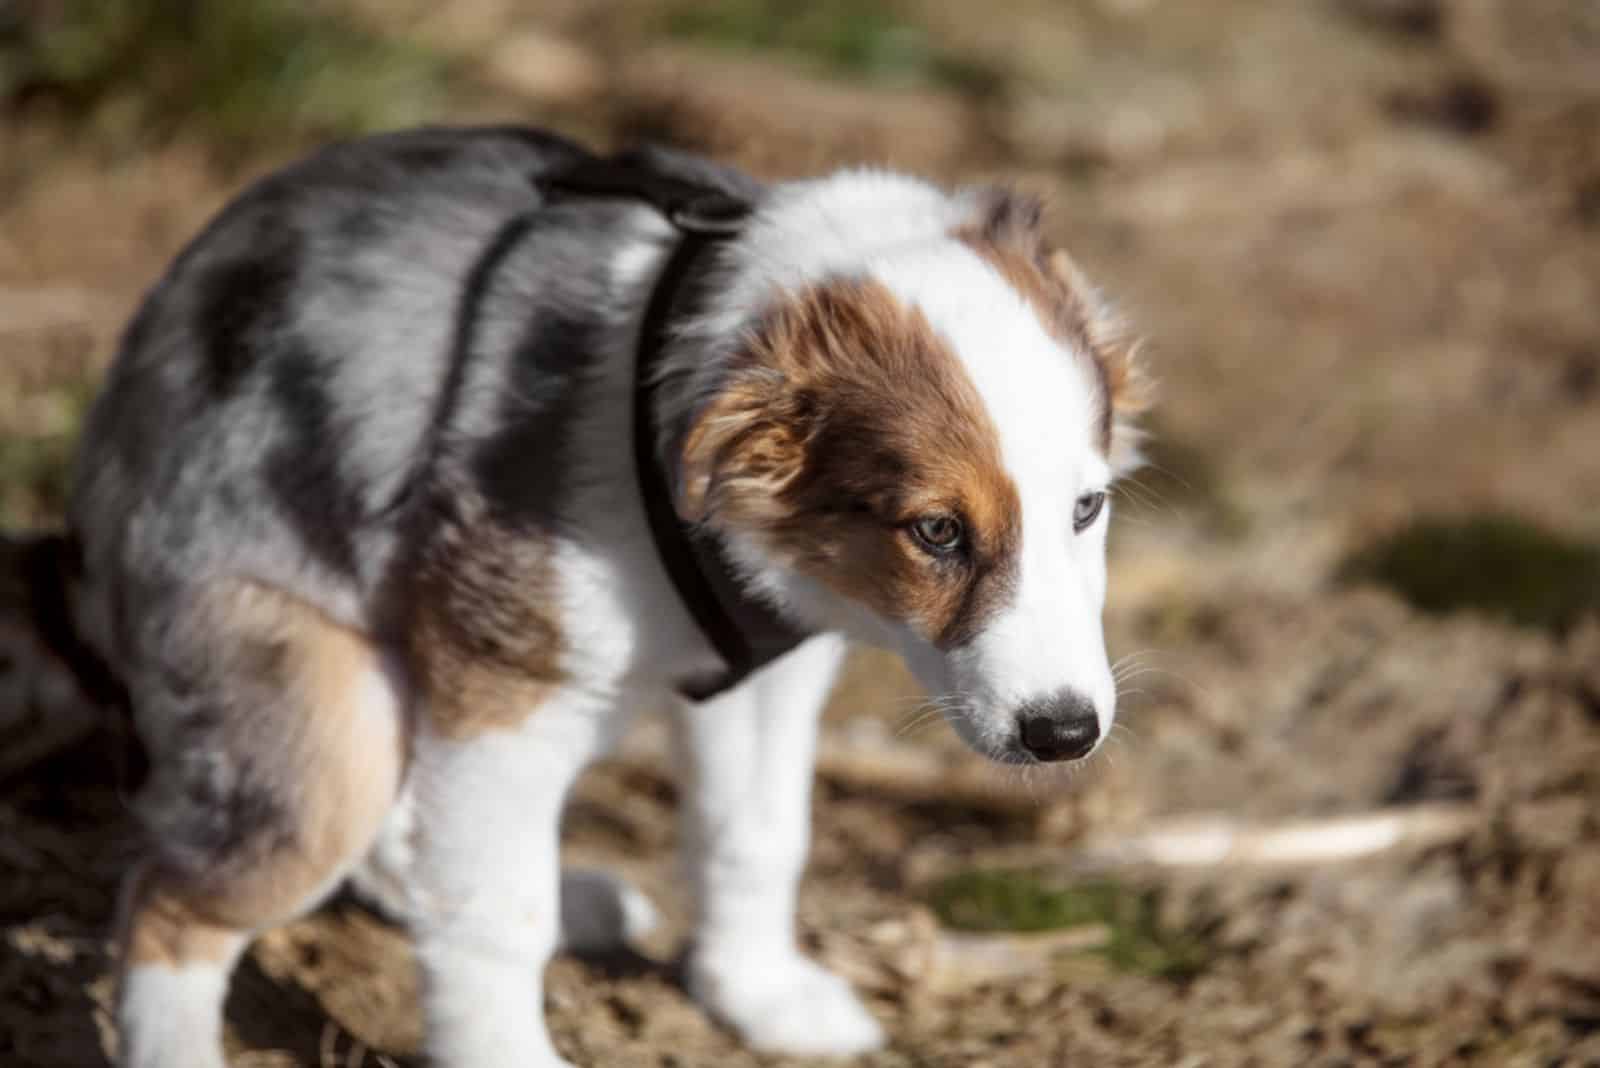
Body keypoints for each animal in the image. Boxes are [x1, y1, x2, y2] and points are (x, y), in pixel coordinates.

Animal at [53, 127, 1152, 1068]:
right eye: (936, 532)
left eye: (1087, 508)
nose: (1065, 735)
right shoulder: (505, 682)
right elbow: (496, 911)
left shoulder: (770, 673)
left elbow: (754, 835)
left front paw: (757, 996)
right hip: (317, 712)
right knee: (172, 901)